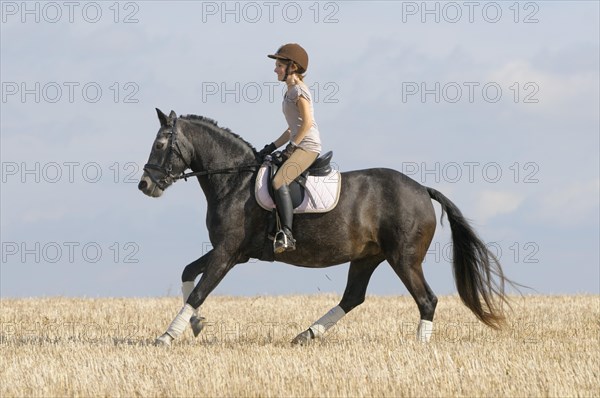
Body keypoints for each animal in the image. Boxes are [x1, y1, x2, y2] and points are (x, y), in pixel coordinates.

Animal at [139, 108, 510, 346]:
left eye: (159, 144)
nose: (145, 185)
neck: (234, 180)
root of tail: (422, 189)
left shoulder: (228, 252)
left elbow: (200, 290)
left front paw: (166, 336)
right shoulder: (232, 252)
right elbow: (188, 273)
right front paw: (195, 324)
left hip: (404, 259)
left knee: (426, 300)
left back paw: (420, 348)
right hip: (367, 257)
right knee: (353, 297)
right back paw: (306, 335)